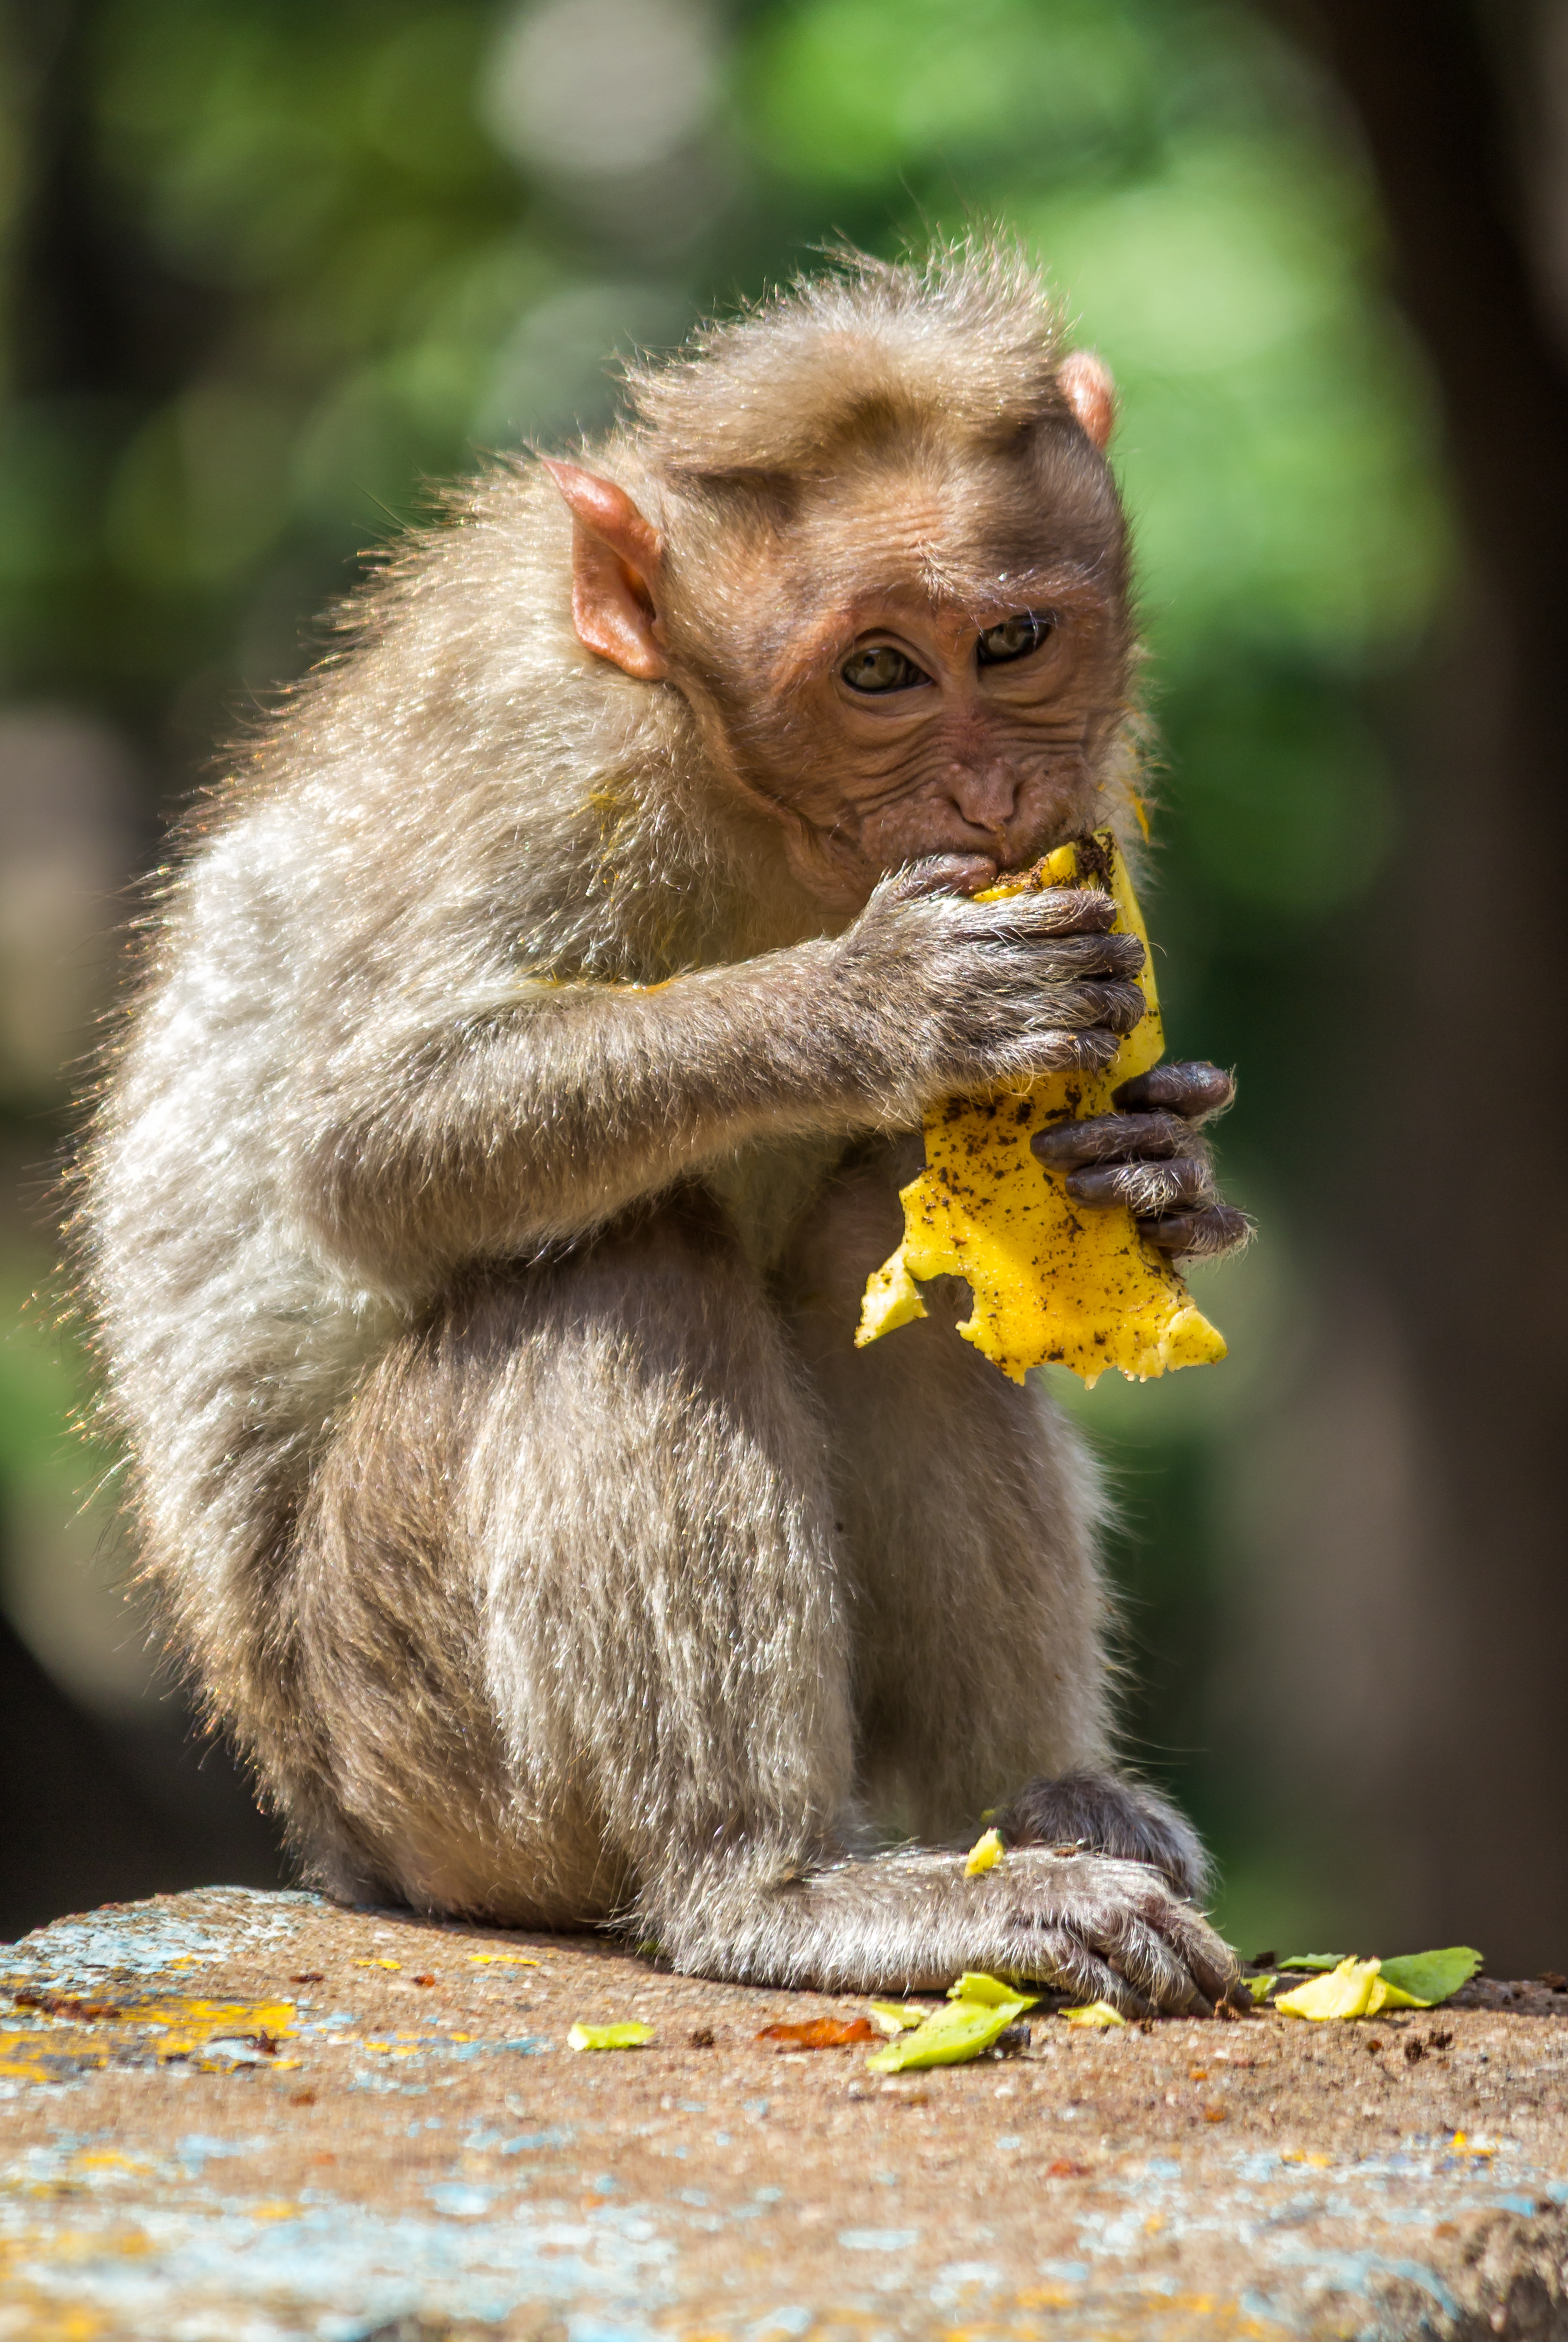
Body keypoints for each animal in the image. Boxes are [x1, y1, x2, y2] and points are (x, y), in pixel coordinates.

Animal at [86, 247, 1254, 2023]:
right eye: (876, 672)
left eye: (1012, 639)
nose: (993, 797)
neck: (754, 793)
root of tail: (331, 1833)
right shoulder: (553, 760)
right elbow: (358, 1150)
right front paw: (888, 1000)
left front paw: (1153, 1167)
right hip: (416, 1749)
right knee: (622, 1263)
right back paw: (769, 1890)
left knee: (866, 1242)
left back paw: (1034, 1802)